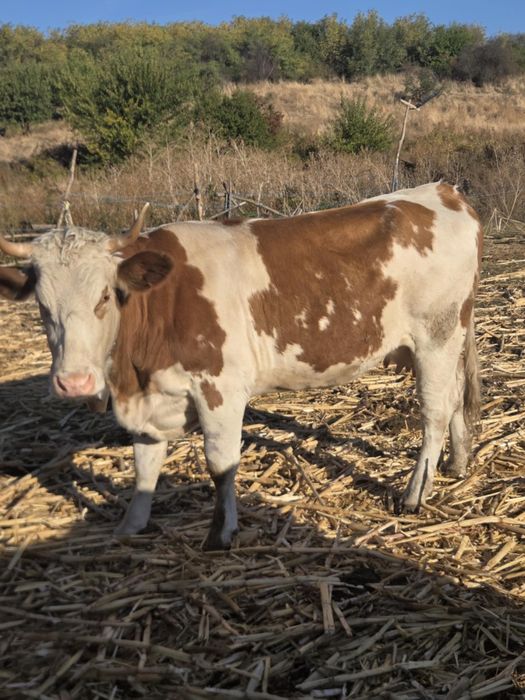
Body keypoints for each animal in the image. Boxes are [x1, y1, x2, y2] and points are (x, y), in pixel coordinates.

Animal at [0, 182, 482, 549]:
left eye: (105, 296)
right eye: (41, 305)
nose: (75, 382)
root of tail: (443, 191)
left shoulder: (221, 387)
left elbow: (220, 464)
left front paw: (221, 533)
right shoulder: (150, 397)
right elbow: (145, 463)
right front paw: (131, 525)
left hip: (436, 337)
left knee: (435, 411)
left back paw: (415, 494)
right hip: (446, 339)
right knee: (457, 396)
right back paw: (458, 464)